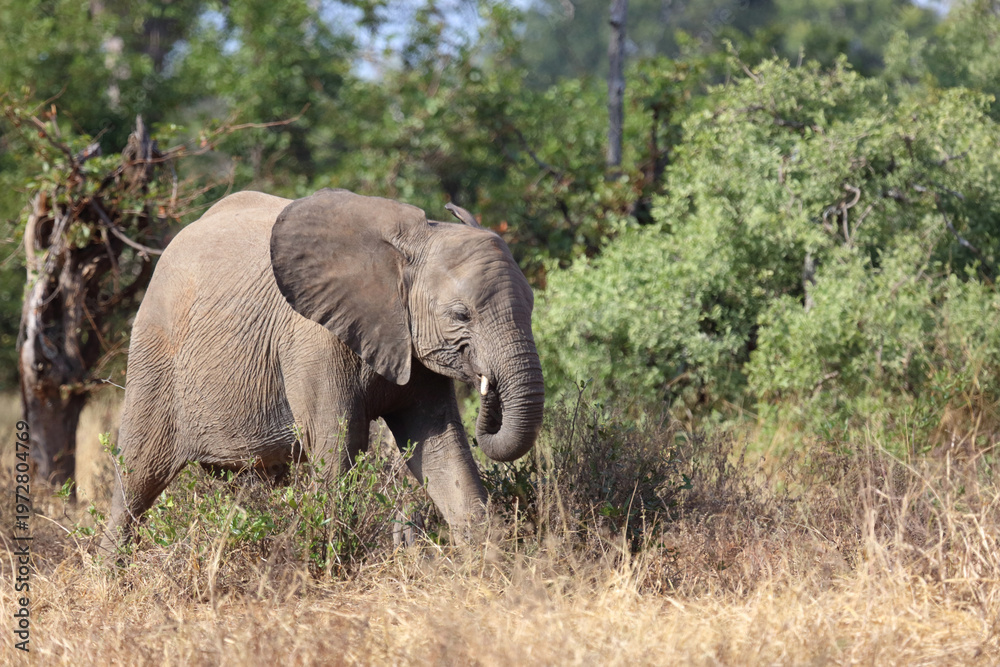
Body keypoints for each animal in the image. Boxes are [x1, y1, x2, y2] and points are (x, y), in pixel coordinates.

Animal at [101, 188, 544, 552]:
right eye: (460, 315)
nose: (488, 390)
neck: (405, 249)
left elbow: (440, 447)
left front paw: (492, 564)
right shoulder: (315, 342)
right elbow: (338, 446)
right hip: (155, 352)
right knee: (138, 474)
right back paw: (112, 572)